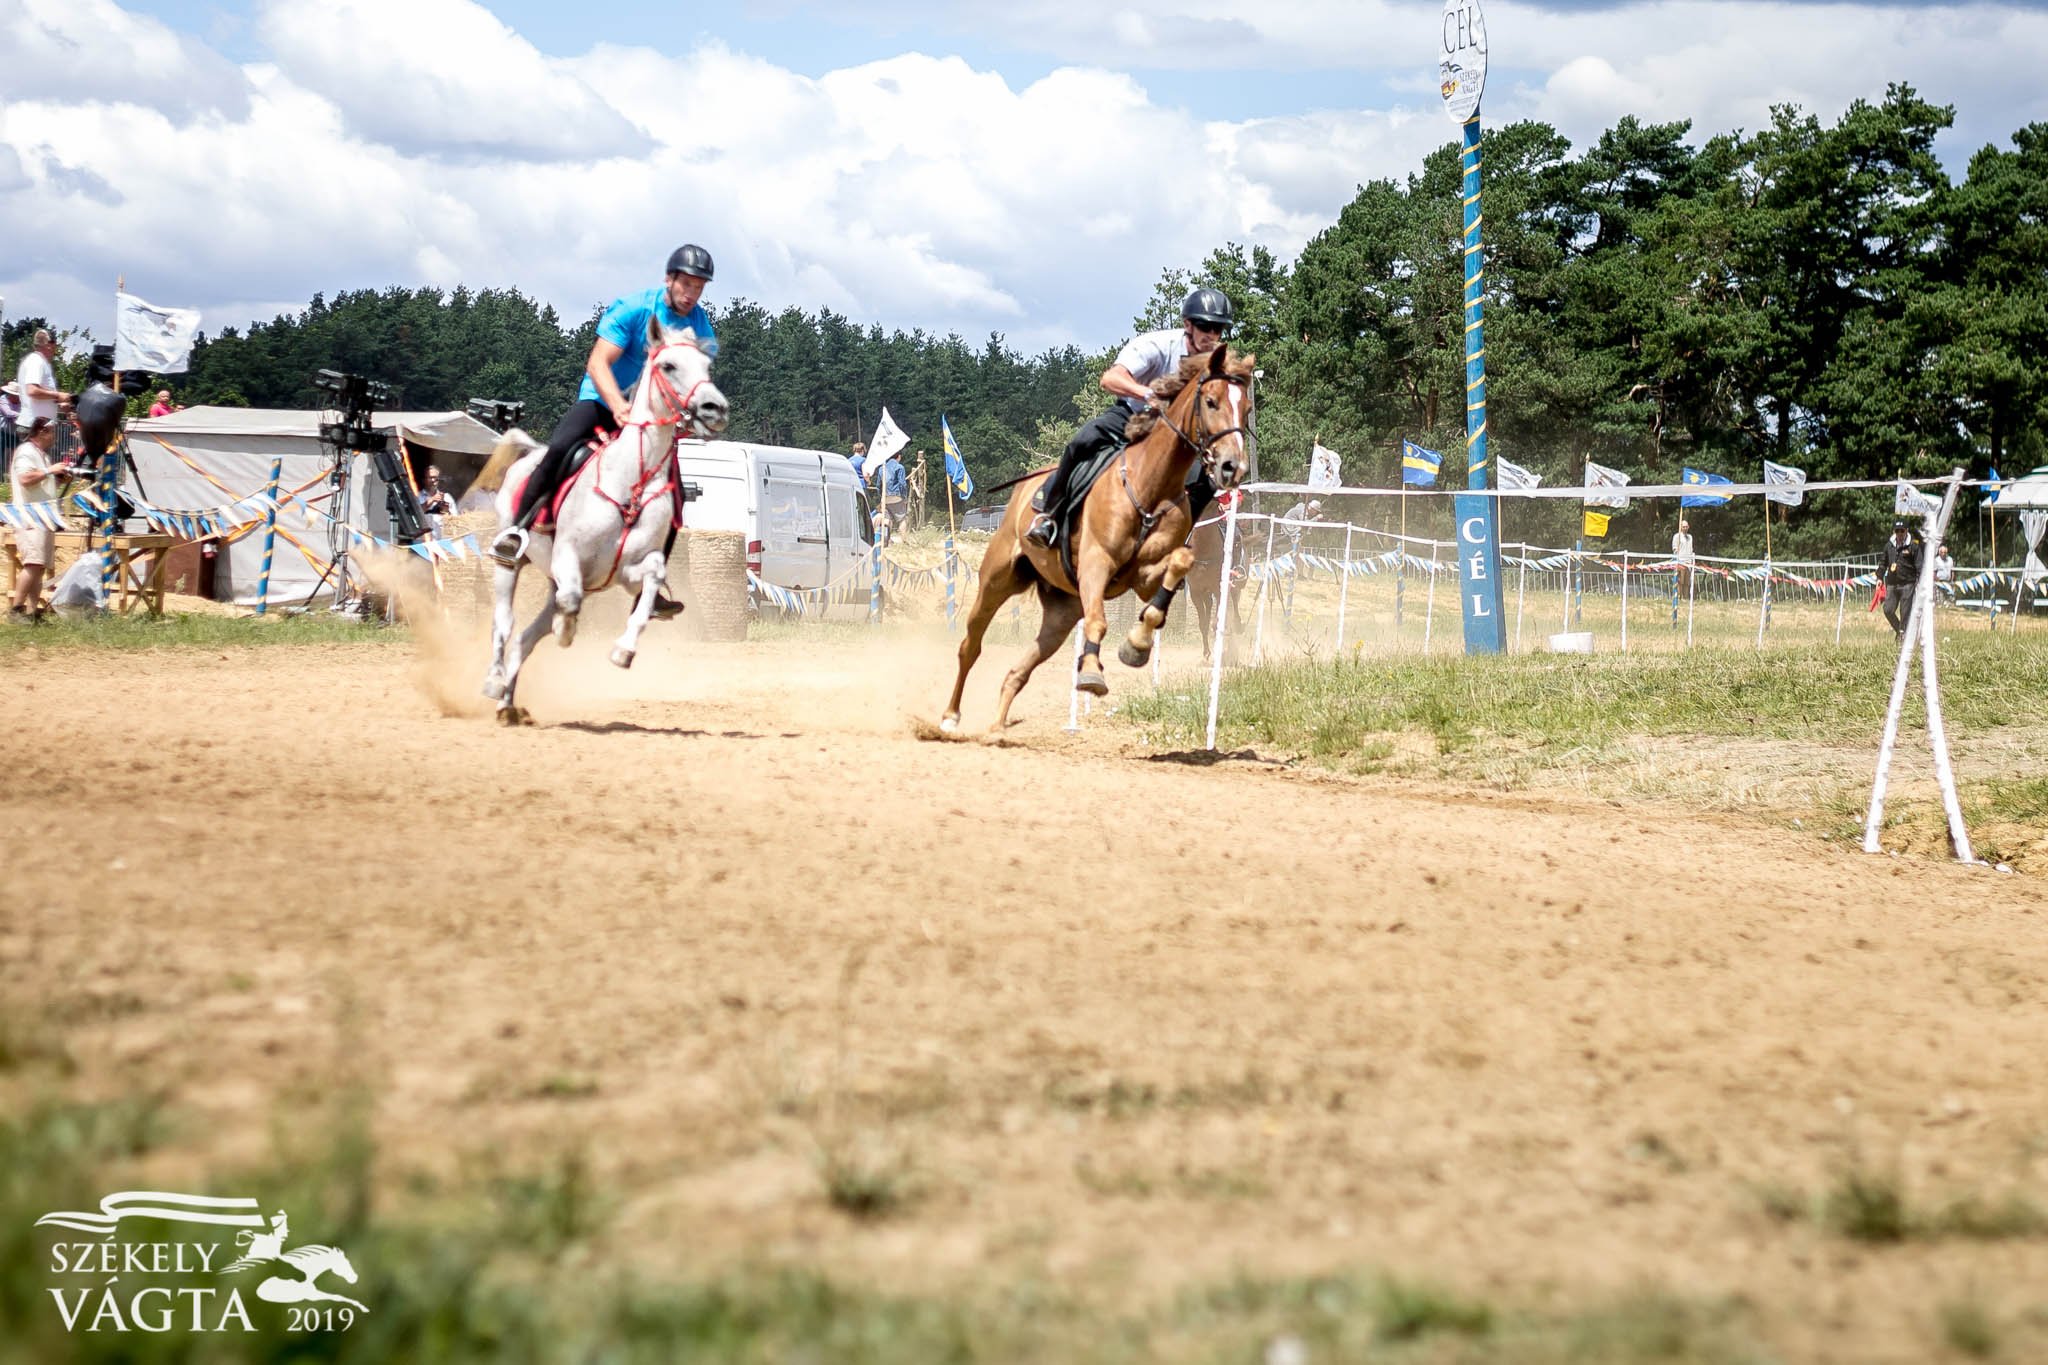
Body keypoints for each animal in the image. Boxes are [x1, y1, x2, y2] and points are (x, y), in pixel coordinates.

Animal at [475, 321, 733, 724]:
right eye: (669, 365)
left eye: (707, 367)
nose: (714, 408)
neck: (630, 481)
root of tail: (529, 454)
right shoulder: (569, 556)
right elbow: (570, 600)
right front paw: (566, 631)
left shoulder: (627, 571)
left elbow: (650, 581)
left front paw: (622, 650)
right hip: (510, 563)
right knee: (505, 622)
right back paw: (494, 681)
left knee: (526, 637)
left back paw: (507, 704)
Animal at [937, 343, 1245, 736]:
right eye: (1211, 401)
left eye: (1245, 406)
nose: (1232, 466)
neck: (1148, 486)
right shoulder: (1096, 564)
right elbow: (1098, 622)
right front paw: (1091, 674)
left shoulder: (1144, 577)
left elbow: (1177, 567)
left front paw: (1137, 645)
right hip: (996, 579)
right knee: (970, 645)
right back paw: (950, 716)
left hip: (1061, 612)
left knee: (1018, 671)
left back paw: (998, 726)